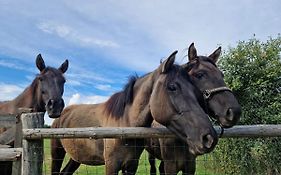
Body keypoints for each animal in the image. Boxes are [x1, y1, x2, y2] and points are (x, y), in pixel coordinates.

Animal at [49, 50, 217, 175]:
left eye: (194, 90)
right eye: (172, 87)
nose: (209, 138)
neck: (124, 125)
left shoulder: (131, 165)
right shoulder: (111, 165)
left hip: (75, 158)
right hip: (57, 154)